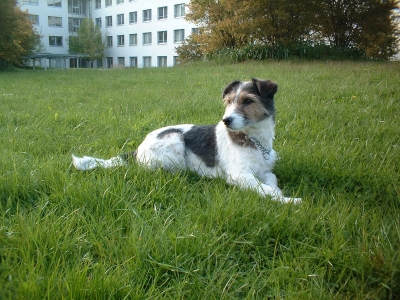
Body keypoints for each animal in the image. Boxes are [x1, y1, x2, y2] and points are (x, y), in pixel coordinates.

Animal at [73, 78, 302, 204]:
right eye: (228, 102)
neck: (253, 139)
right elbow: (265, 189)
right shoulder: (239, 175)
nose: (226, 120)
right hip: (174, 140)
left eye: (248, 101)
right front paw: (289, 201)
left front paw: (279, 192)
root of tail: (138, 150)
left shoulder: (264, 170)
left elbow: (272, 180)